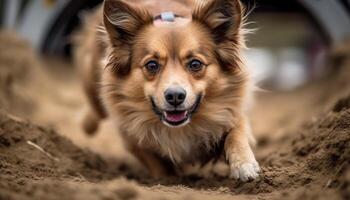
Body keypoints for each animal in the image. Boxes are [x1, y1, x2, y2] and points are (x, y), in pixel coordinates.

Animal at [74, 0, 260, 181]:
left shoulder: (232, 112)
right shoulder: (133, 139)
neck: (180, 129)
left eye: (195, 64)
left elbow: (236, 134)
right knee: (95, 110)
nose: (175, 96)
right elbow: (159, 166)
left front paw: (244, 165)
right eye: (152, 65)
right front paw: (168, 181)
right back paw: (85, 126)